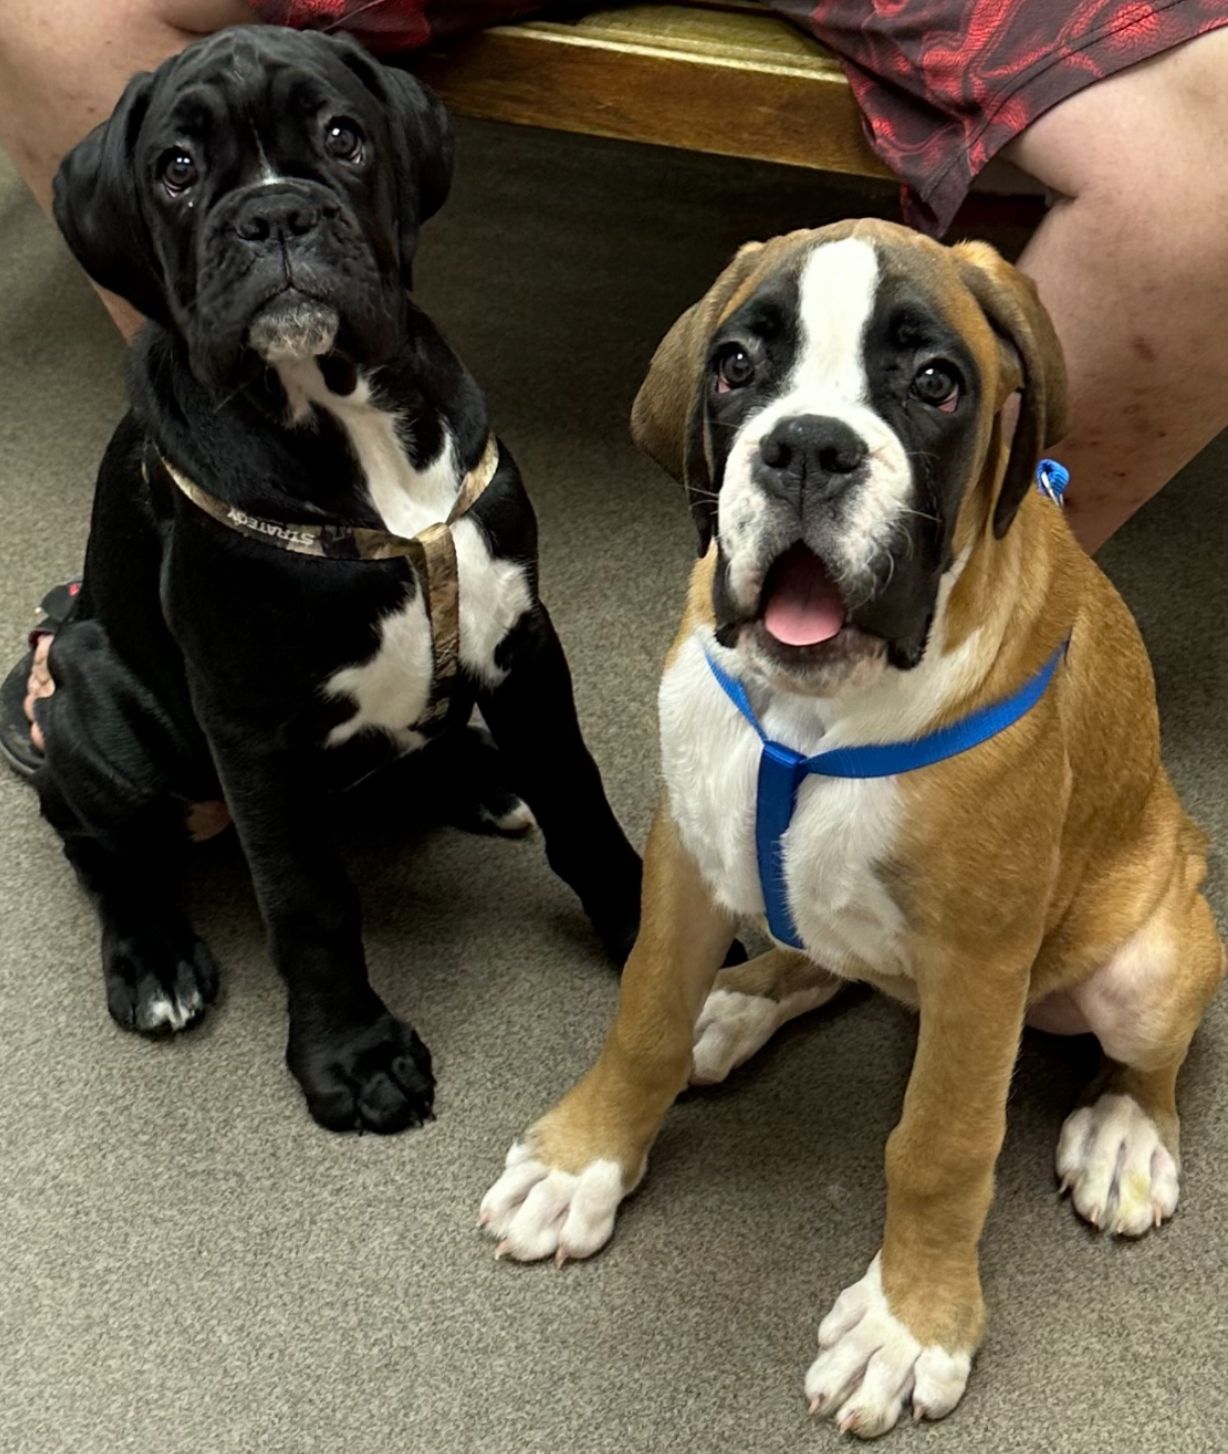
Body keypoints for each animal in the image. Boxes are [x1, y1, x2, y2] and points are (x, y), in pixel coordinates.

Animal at [30, 26, 641, 1133]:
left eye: (343, 137)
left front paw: (643, 927)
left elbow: (579, 797)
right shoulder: (252, 731)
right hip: (93, 695)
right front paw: (351, 1057)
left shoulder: (523, 645)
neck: (343, 415)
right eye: (175, 169)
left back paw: (477, 773)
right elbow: (307, 898)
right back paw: (152, 958)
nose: (275, 214)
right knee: (92, 838)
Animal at [478, 221, 1224, 1433]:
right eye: (736, 366)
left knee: (1150, 1054)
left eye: (935, 383)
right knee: (814, 958)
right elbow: (642, 1017)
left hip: (1148, 962)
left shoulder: (980, 963)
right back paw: (735, 1002)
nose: (808, 448)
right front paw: (583, 1161)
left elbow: (941, 1145)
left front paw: (908, 1324)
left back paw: (1125, 1134)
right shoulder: (686, 855)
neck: (815, 715)